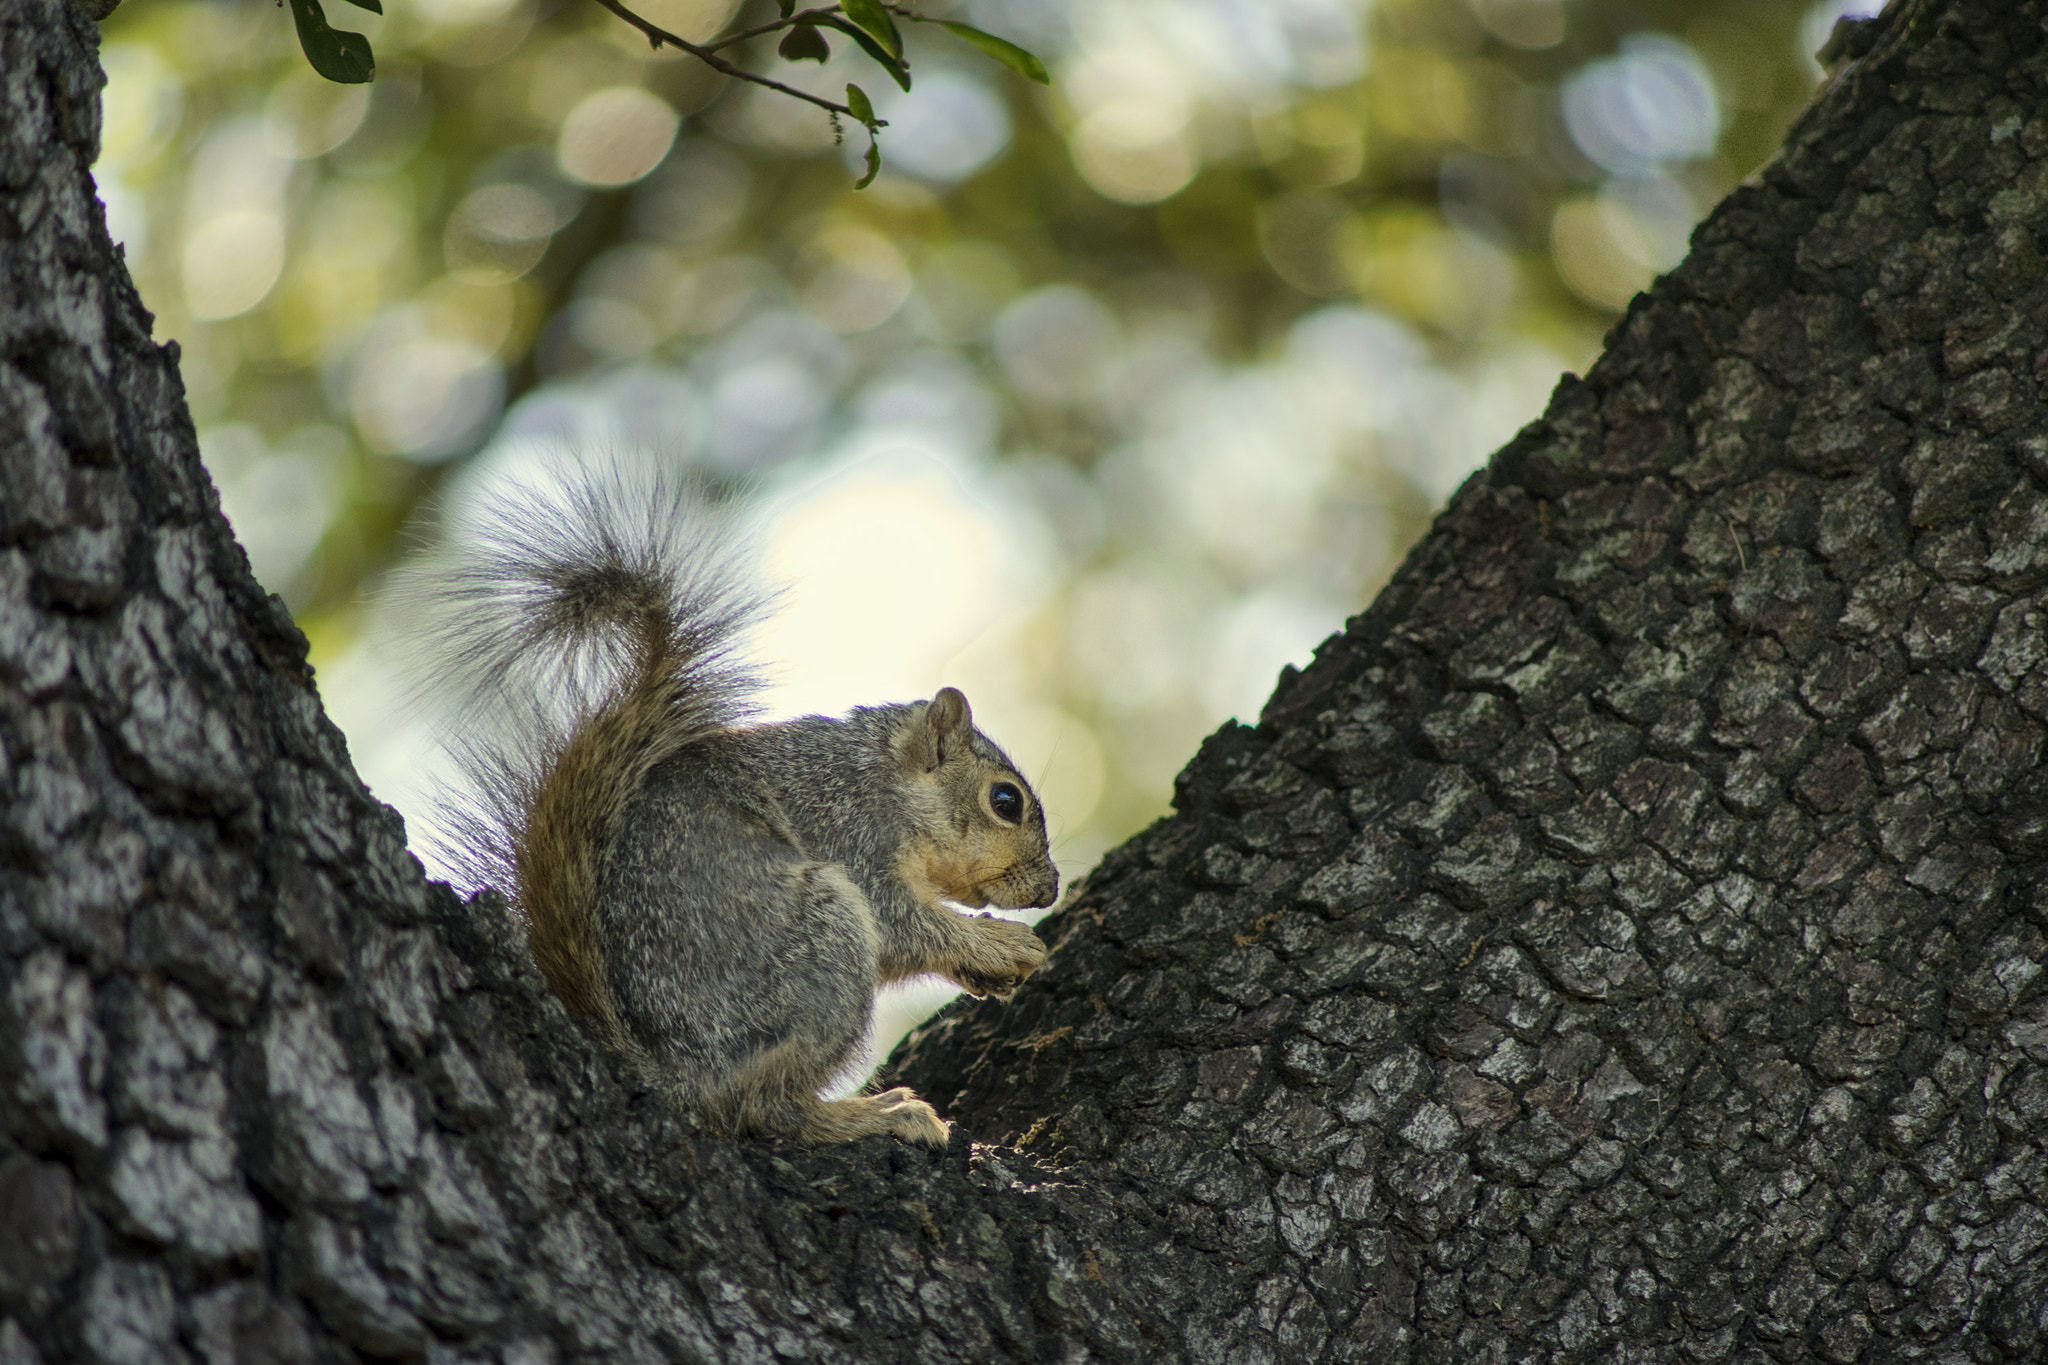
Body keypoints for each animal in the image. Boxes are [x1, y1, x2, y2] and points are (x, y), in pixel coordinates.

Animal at [415, 474, 1056, 1146]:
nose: (1050, 889)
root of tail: (677, 1073)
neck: (889, 786)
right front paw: (1001, 945)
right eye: (1005, 801)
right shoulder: (851, 833)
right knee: (763, 1107)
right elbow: (902, 922)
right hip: (819, 946)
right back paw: (873, 1115)